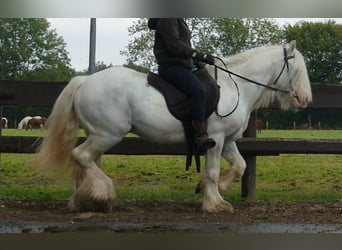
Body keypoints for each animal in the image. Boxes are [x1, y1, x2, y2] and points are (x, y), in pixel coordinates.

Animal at [33, 41, 312, 213]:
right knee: (81, 156)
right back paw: (104, 193)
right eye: (297, 70)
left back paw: (85, 199)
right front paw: (215, 203)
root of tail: (85, 80)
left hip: (98, 135)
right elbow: (212, 171)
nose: (305, 99)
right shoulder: (215, 139)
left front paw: (211, 190)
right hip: (107, 134)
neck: (236, 87)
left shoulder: (228, 141)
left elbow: (240, 166)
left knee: (84, 162)